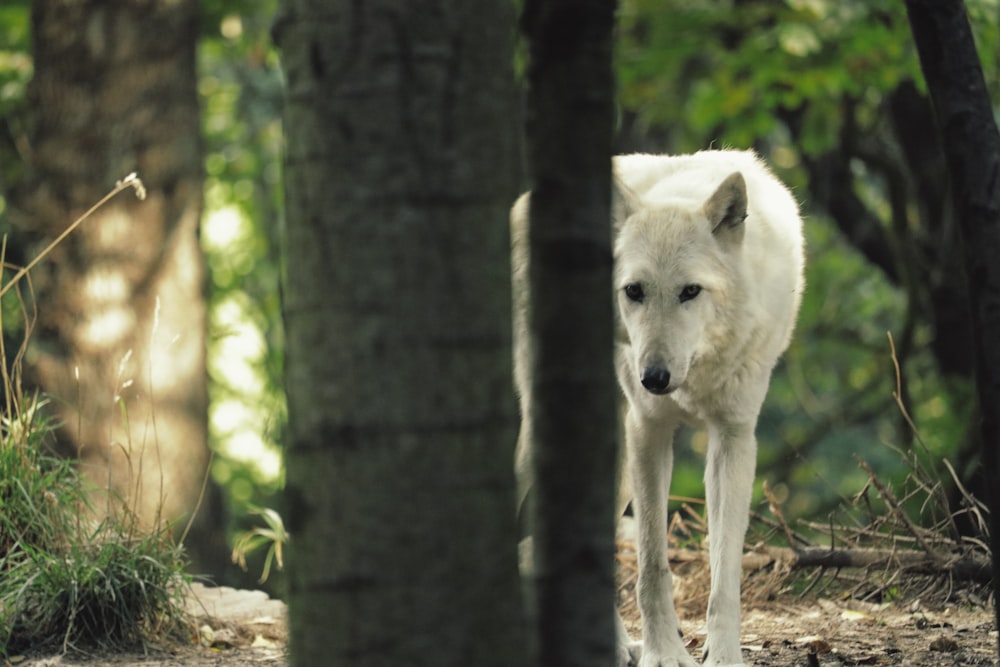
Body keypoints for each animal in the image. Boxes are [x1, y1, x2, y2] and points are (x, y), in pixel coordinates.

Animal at [512, 150, 808, 667]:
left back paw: (609, 645)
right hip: (547, 445)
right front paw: (664, 654)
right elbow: (653, 564)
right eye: (634, 291)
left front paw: (723, 656)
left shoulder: (734, 437)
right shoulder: (647, 429)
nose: (654, 379)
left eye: (690, 291)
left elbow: (725, 573)